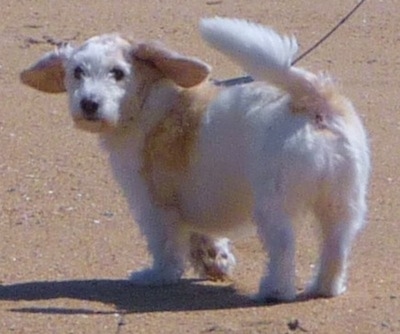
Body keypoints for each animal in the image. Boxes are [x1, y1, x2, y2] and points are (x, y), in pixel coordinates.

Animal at [19, 17, 368, 302]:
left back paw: (274, 291)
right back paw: (324, 287)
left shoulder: (155, 206)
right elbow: (201, 237)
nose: (89, 104)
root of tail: (314, 100)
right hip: (342, 205)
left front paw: (158, 276)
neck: (148, 104)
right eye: (77, 73)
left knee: (283, 248)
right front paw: (214, 262)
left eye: (118, 74)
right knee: (336, 247)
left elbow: (167, 246)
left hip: (274, 208)